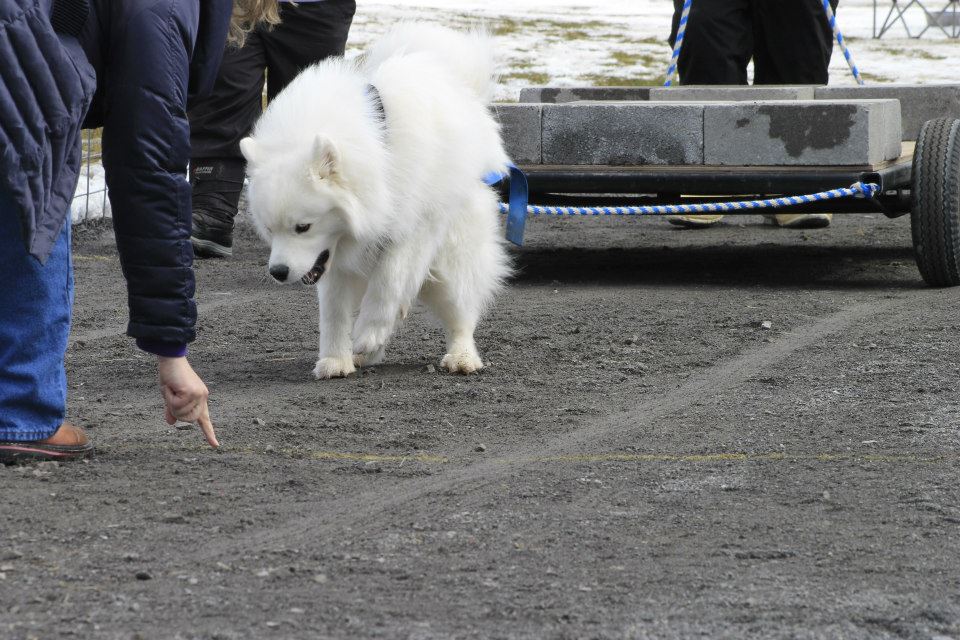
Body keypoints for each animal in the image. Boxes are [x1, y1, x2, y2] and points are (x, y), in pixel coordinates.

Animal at [239, 25, 510, 378]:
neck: (381, 154)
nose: (278, 272)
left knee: (461, 313)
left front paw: (368, 332)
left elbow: (388, 284)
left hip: (451, 264)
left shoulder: (412, 229)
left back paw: (461, 357)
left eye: (303, 227)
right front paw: (336, 360)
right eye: (270, 230)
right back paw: (364, 355)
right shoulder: (333, 259)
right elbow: (334, 313)